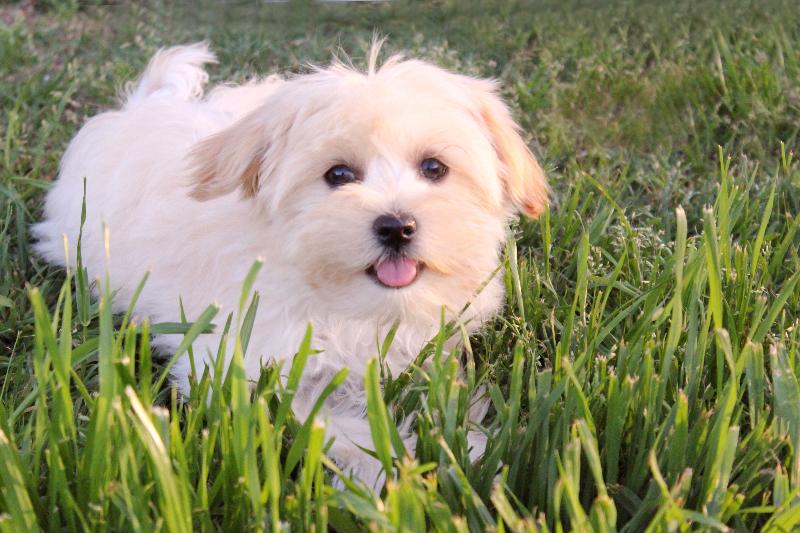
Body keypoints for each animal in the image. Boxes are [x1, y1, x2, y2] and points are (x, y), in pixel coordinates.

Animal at [37, 41, 552, 482]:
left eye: (434, 168)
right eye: (338, 175)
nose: (396, 227)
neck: (347, 304)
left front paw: (469, 446)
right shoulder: (243, 365)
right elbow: (324, 422)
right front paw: (404, 465)